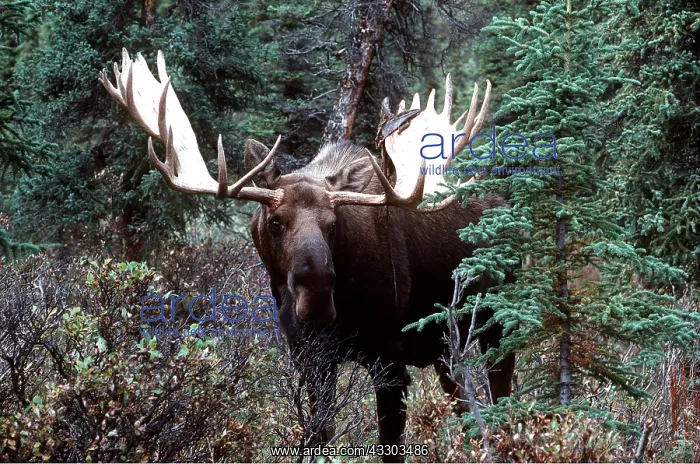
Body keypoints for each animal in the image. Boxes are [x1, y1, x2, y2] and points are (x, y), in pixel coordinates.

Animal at [99, 49, 515, 462]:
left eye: (333, 223)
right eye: (276, 221)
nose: (315, 294)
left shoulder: (389, 357)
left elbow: (390, 445)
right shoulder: (309, 357)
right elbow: (317, 434)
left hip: (496, 327)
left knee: (500, 403)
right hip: (445, 349)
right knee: (466, 407)